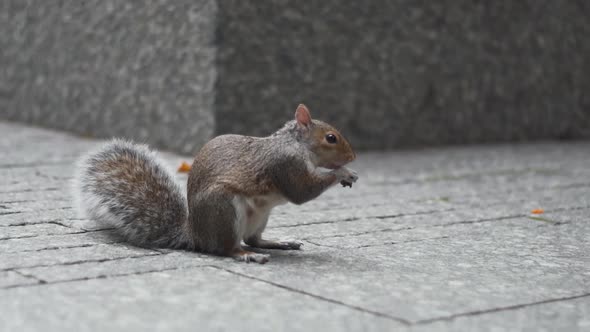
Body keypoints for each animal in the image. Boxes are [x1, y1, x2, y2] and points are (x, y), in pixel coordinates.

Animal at [74, 102, 360, 264]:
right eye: (331, 138)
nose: (353, 156)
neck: (294, 144)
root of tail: (196, 234)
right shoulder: (285, 165)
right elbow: (302, 192)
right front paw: (343, 172)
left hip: (260, 216)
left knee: (254, 238)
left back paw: (277, 243)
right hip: (224, 210)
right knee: (226, 249)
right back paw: (246, 255)